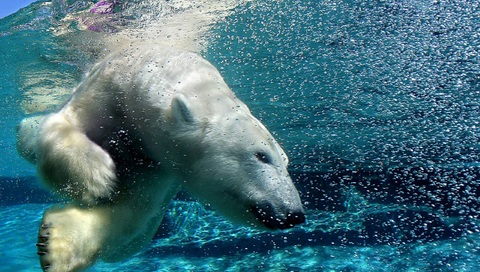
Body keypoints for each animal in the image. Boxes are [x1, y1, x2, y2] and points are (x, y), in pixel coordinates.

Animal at [17, 45, 308, 272]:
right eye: (261, 156)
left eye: (286, 162)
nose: (294, 214)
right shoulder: (107, 90)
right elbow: (64, 124)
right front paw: (96, 176)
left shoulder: (159, 164)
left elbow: (132, 209)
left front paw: (55, 244)